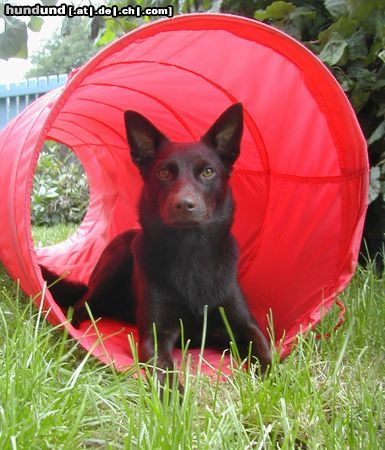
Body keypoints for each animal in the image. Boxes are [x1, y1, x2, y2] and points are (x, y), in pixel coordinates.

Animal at [40, 102, 270, 376]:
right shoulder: (156, 334)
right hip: (115, 263)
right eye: (163, 173)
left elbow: (266, 352)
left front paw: (267, 380)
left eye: (208, 172)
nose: (184, 204)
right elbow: (165, 371)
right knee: (79, 305)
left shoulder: (242, 324)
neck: (190, 252)